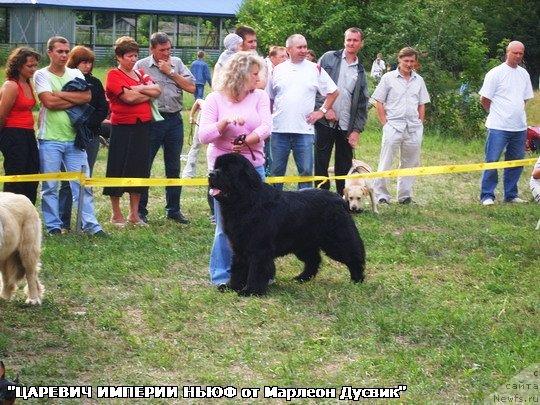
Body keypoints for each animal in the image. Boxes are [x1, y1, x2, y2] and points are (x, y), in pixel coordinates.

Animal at [209, 153, 364, 296]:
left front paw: (251, 291)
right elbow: (238, 267)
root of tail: (339, 199)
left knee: (353, 256)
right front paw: (232, 286)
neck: (246, 201)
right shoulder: (239, 245)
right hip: (303, 243)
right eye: (216, 167)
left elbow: (256, 269)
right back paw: (302, 278)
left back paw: (357, 279)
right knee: (314, 260)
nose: (210, 174)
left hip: (336, 240)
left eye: (228, 169)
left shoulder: (259, 247)